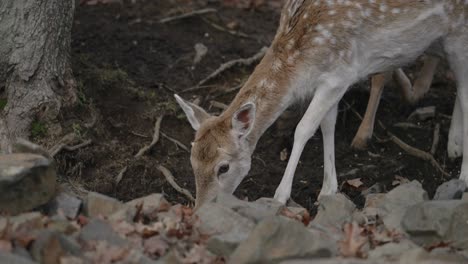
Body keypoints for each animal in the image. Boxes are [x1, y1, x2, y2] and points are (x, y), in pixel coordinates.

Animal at [176, 0, 468, 206]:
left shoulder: (339, 75)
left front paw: (280, 195)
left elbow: (304, 128)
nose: (200, 210)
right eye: (192, 160)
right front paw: (328, 189)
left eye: (223, 167)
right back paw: (454, 144)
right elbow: (328, 124)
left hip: (458, 32)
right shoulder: (332, 82)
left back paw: (463, 177)